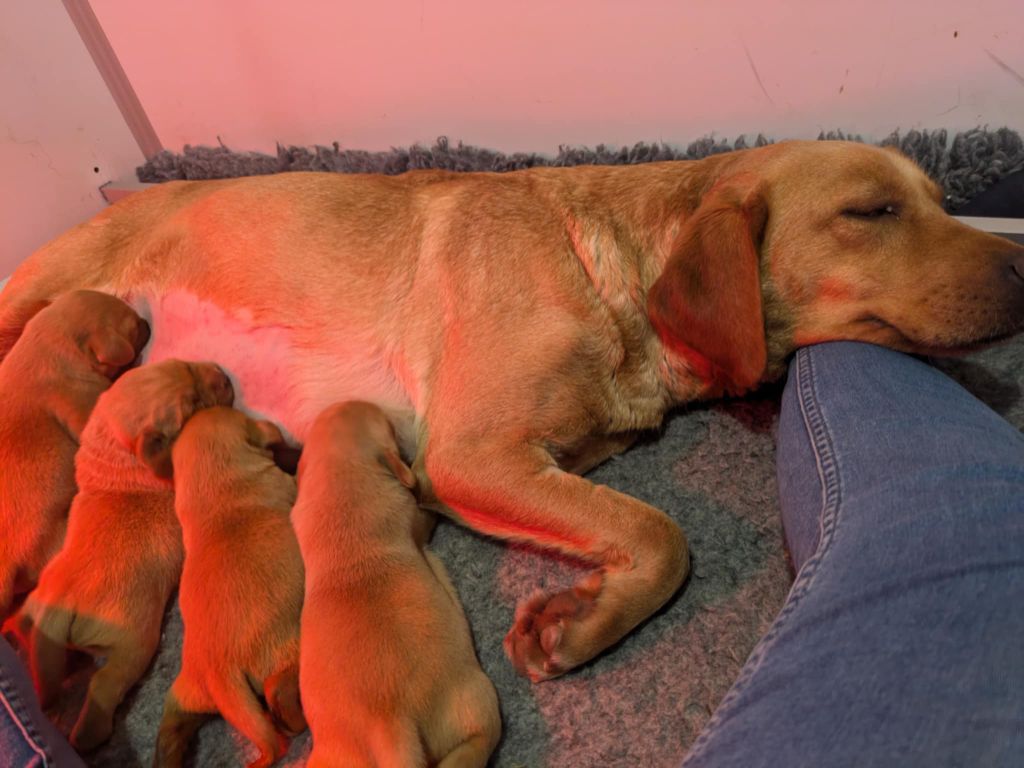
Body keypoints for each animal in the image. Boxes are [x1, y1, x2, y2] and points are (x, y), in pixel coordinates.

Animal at [13, 360, 234, 753]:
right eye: (192, 404)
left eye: (184, 363)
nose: (224, 376)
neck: (116, 457)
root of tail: (58, 609)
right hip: (134, 642)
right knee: (106, 684)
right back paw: (88, 736)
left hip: (38, 608)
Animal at [151, 405, 303, 765]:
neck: (214, 485)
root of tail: (219, 672)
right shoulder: (283, 483)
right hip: (285, 650)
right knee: (279, 693)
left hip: (184, 697)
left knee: (170, 733)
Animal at [294, 403, 501, 768]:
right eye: (388, 428)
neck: (340, 483)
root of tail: (391, 727)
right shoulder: (410, 508)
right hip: (477, 700)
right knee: (479, 740)